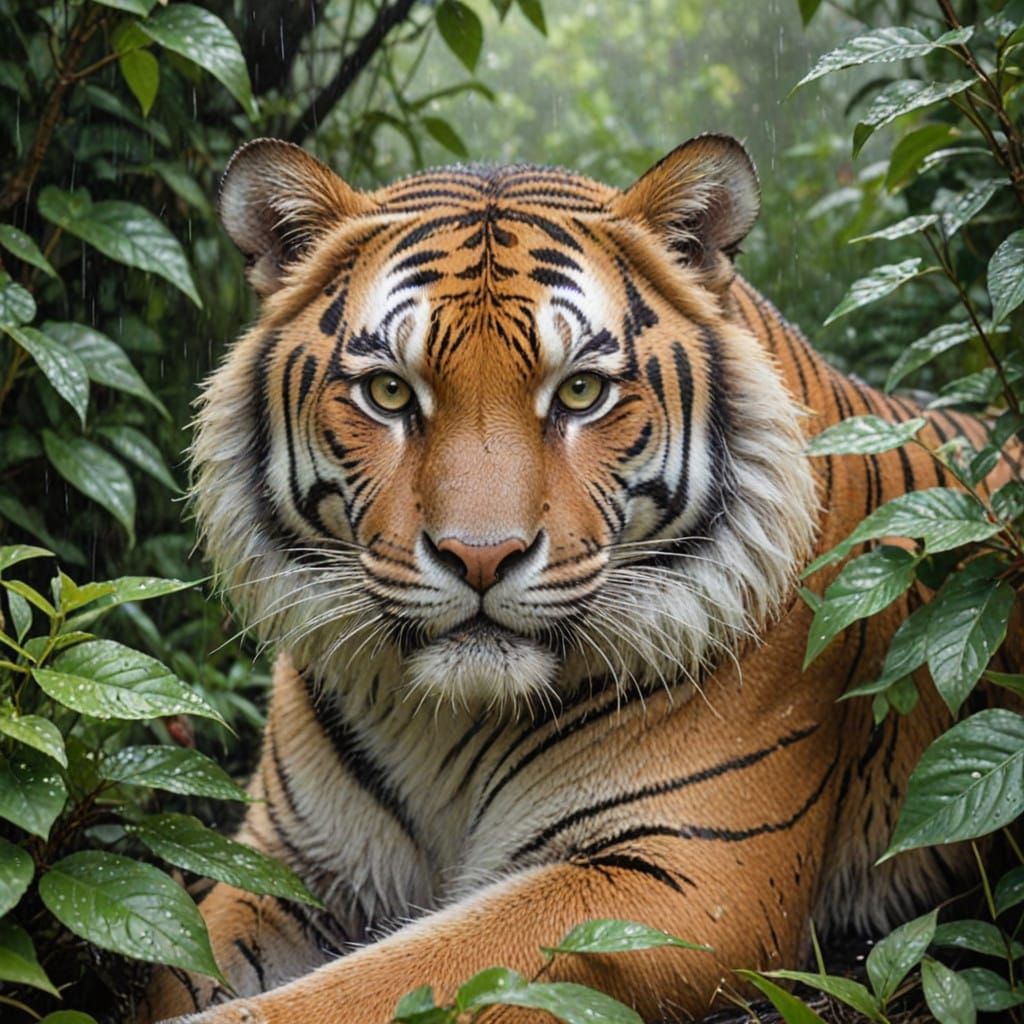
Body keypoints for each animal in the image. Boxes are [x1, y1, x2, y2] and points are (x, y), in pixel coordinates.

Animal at [143, 133, 1016, 1024]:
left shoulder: (683, 875)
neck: (441, 726)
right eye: (388, 391)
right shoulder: (282, 860)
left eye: (581, 391)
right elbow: (168, 965)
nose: (481, 555)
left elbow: (370, 989)